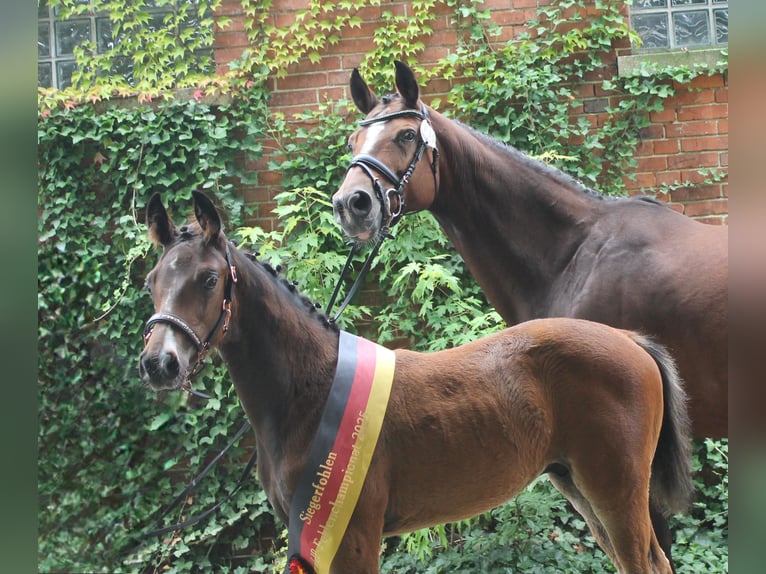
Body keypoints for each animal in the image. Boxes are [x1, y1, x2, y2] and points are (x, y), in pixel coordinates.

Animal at [139, 191, 692, 574]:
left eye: (209, 279)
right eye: (151, 282)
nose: (159, 364)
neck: (309, 393)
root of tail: (628, 340)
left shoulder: (353, 539)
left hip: (616, 491)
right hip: (580, 487)